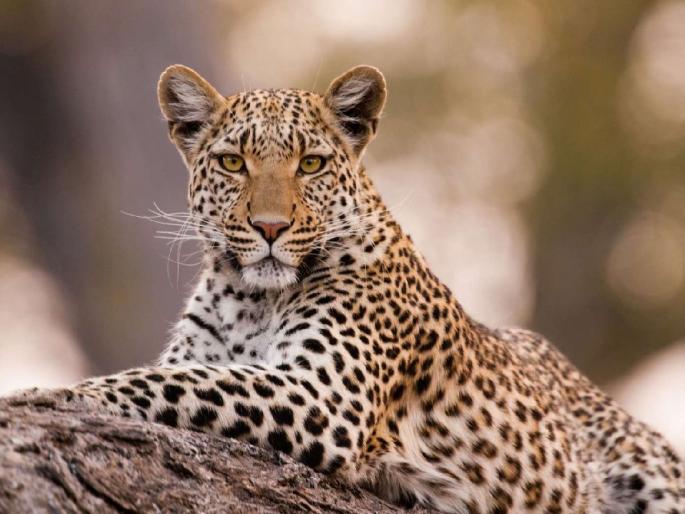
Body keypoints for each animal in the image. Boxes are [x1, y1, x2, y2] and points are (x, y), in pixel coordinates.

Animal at [9, 64, 684, 513]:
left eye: (311, 164)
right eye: (232, 163)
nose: (270, 228)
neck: (249, 299)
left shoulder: (325, 396)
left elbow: (168, 382)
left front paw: (45, 396)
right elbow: (178, 372)